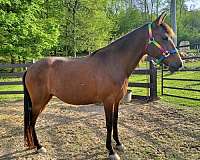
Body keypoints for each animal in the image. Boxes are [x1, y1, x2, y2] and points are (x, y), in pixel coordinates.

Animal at [22, 11, 182, 159]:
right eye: (165, 37)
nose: (179, 64)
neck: (114, 63)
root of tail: (30, 68)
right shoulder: (108, 101)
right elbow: (109, 124)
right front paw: (111, 151)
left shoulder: (117, 101)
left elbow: (115, 121)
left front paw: (118, 144)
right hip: (39, 102)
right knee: (32, 122)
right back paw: (39, 146)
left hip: (44, 100)